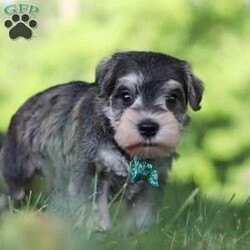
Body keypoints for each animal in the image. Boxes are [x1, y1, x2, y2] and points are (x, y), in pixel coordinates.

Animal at [0, 50, 203, 230]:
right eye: (126, 95)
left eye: (172, 98)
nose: (148, 127)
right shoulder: (92, 172)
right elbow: (95, 208)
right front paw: (98, 229)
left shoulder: (151, 184)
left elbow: (143, 214)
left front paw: (141, 233)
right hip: (20, 176)